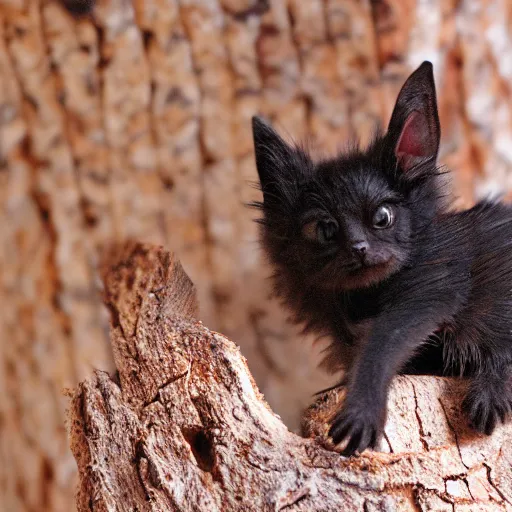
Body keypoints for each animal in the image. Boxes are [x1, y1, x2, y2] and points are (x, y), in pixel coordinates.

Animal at [251, 62, 512, 458]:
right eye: (324, 229)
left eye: (383, 217)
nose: (358, 247)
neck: (363, 298)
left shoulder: (436, 284)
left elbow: (387, 338)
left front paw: (362, 412)